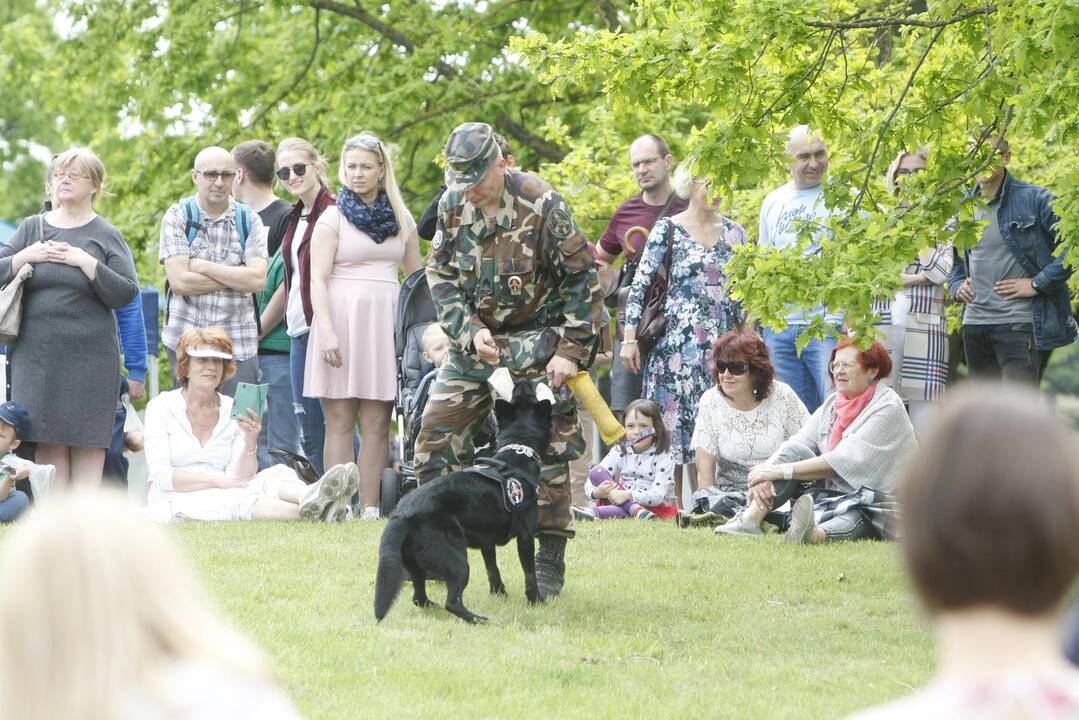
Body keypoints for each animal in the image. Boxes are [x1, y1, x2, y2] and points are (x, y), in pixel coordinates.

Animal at [375, 379, 552, 621]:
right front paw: (536, 601)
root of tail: (400, 515)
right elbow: (529, 573)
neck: (516, 455)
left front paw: (499, 594)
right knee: (452, 602)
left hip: (417, 564)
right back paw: (478, 619)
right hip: (458, 561)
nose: (524, 382)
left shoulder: (487, 542)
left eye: (522, 396)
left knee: (419, 597)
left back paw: (435, 608)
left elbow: (492, 569)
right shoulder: (525, 536)